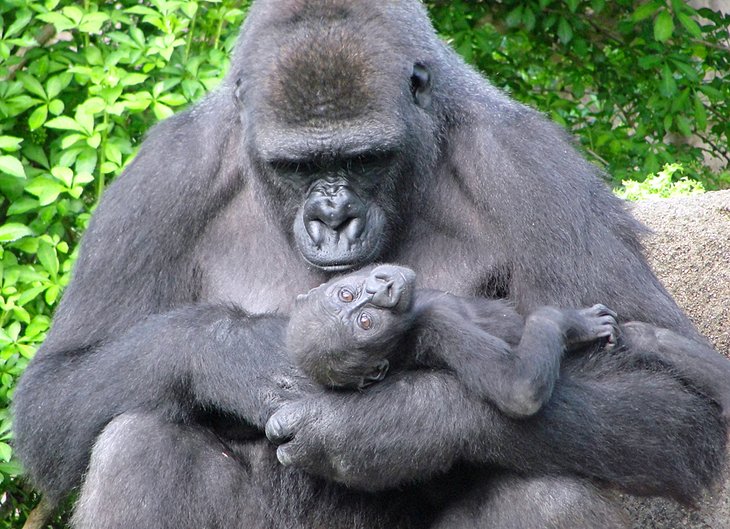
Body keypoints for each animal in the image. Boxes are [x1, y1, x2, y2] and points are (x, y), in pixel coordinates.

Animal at [284, 264, 616, 416]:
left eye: (346, 295)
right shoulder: (437, 324)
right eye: (366, 322)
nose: (379, 290)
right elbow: (519, 388)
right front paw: (571, 321)